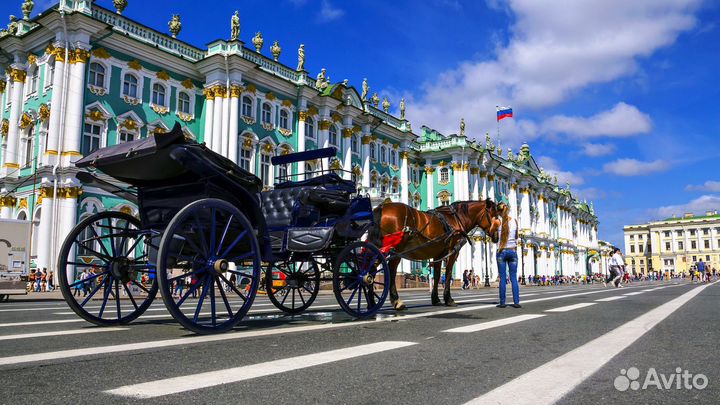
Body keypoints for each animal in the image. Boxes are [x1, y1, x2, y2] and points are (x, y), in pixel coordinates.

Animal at [366, 200, 500, 310]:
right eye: (493, 216)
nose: (496, 237)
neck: (455, 220)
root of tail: (381, 207)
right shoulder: (452, 251)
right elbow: (448, 274)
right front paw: (449, 299)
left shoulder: (438, 254)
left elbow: (437, 275)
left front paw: (435, 299)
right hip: (396, 249)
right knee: (391, 271)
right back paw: (396, 301)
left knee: (370, 269)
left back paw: (371, 303)